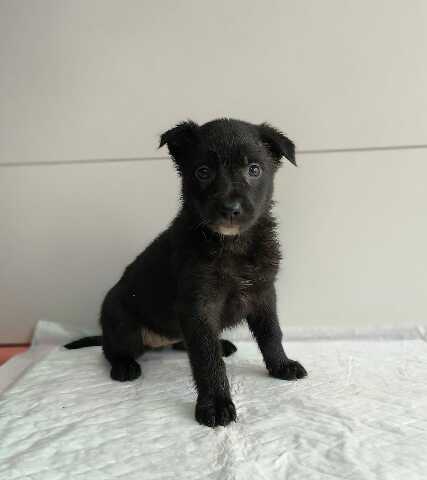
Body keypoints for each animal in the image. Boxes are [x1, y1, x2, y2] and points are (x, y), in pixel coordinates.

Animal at [65, 118, 307, 427]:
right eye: (203, 172)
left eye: (254, 169)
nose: (230, 209)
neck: (233, 244)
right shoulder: (198, 306)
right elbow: (206, 357)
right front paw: (215, 404)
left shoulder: (263, 293)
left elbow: (272, 333)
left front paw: (281, 365)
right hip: (124, 328)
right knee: (110, 350)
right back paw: (123, 366)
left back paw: (220, 344)